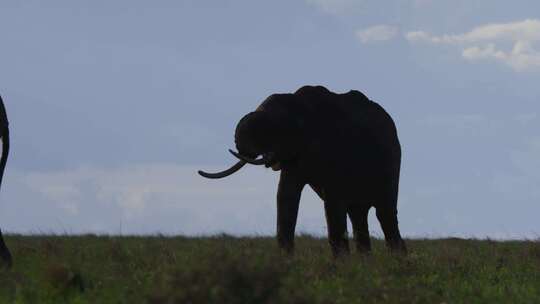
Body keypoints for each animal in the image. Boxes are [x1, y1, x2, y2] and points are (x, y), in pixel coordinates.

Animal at [200, 85, 408, 256]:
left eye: (274, 130)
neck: (297, 105)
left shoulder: (334, 149)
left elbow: (332, 200)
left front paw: (341, 263)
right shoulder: (295, 156)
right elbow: (286, 195)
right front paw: (286, 260)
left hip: (391, 163)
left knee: (384, 211)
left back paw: (397, 258)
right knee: (357, 213)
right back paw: (366, 260)